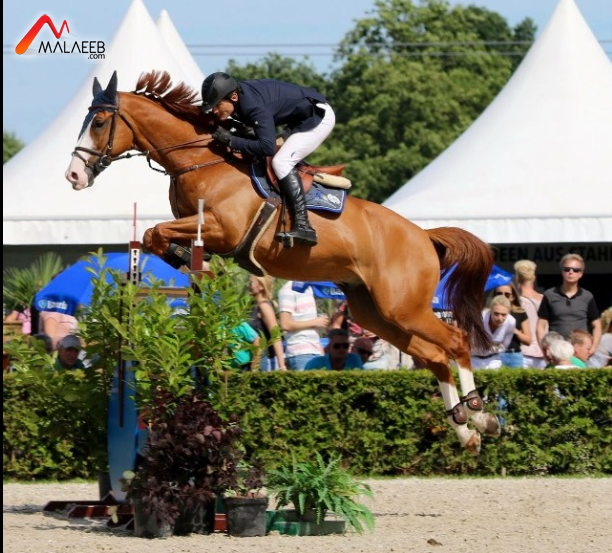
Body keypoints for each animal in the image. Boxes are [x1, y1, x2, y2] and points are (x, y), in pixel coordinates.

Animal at [65, 70, 500, 454]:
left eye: (99, 122)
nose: (73, 176)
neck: (201, 160)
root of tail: (423, 236)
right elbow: (153, 236)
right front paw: (183, 259)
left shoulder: (225, 230)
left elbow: (158, 232)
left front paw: (185, 258)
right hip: (376, 312)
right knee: (435, 357)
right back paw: (467, 431)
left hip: (403, 306)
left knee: (455, 342)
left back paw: (480, 415)